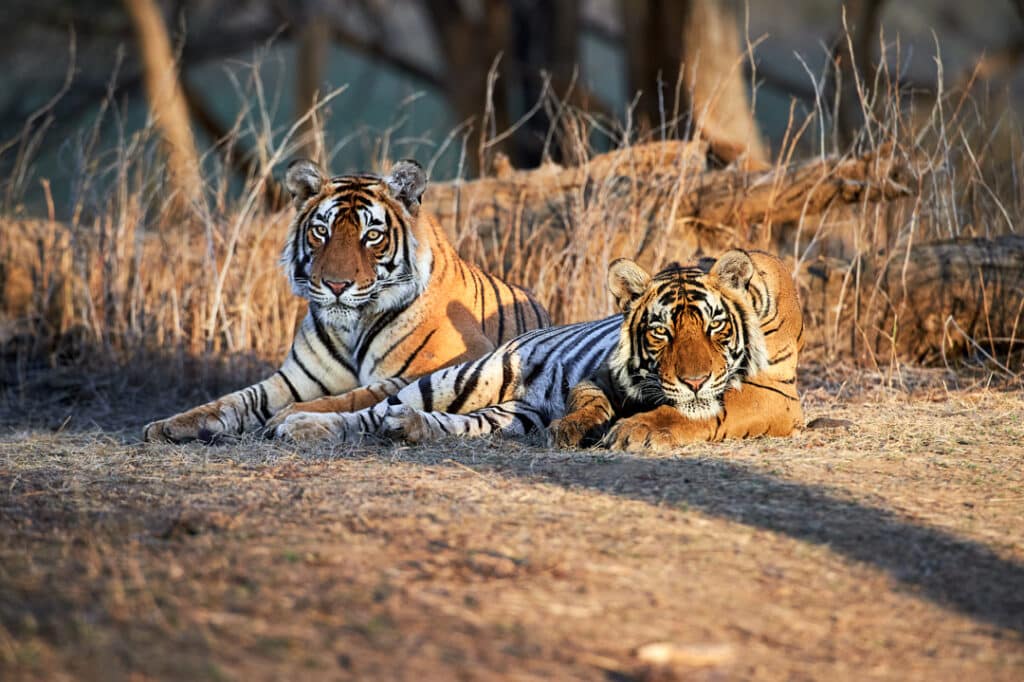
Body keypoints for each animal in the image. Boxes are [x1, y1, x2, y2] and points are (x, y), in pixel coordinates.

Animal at [143, 158, 549, 443]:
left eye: (372, 235)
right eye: (321, 230)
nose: (336, 285)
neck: (351, 324)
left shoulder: (447, 363)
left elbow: (354, 396)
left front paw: (285, 418)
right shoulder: (292, 379)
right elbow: (233, 400)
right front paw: (166, 425)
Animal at [267, 248, 804, 452]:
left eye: (715, 328)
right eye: (660, 332)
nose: (693, 380)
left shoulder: (772, 397)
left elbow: (687, 413)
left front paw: (632, 430)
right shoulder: (601, 375)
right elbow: (595, 401)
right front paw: (578, 428)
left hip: (501, 414)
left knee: (433, 422)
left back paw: (410, 428)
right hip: (461, 378)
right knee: (370, 410)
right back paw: (298, 424)